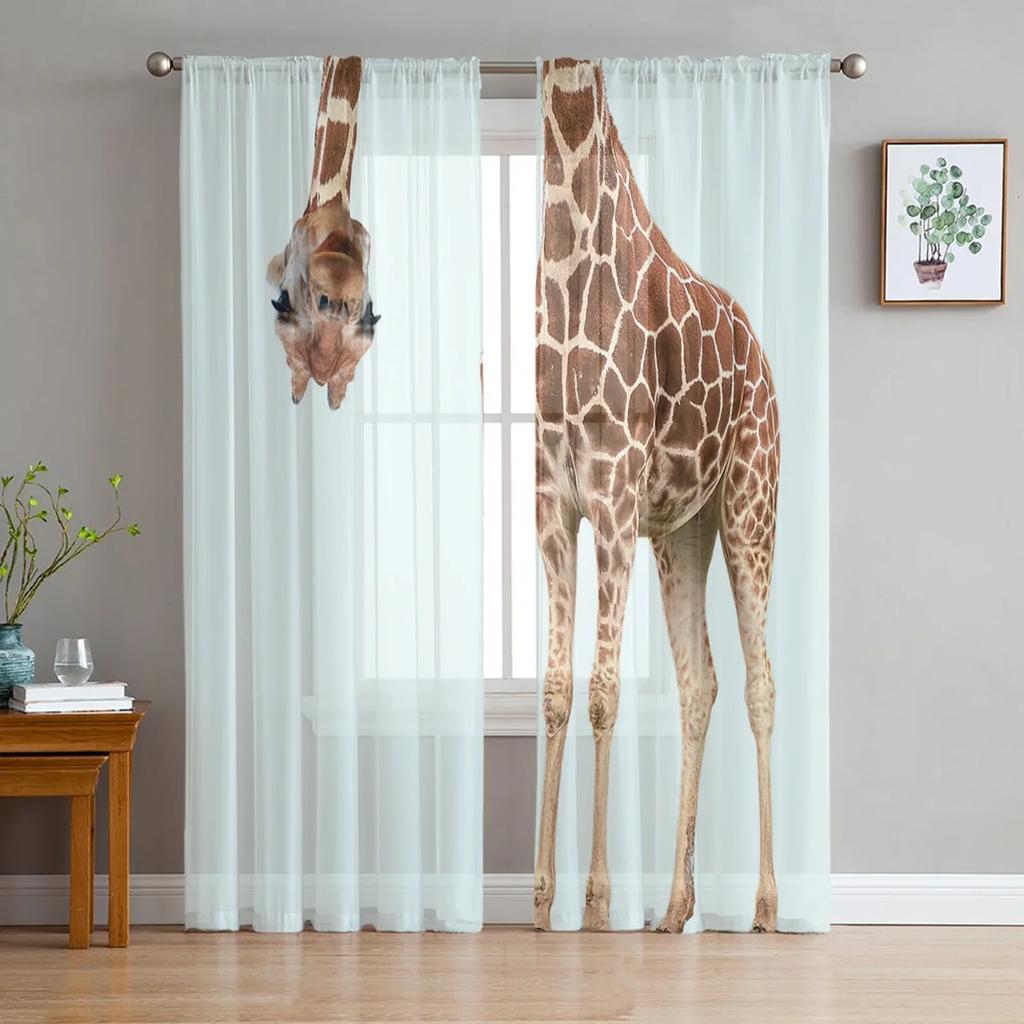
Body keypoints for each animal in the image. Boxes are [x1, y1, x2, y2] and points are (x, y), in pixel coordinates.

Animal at [534, 59, 781, 934]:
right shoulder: (552, 505)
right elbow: (557, 690)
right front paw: (542, 899)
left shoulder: (610, 497)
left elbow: (604, 692)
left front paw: (598, 900)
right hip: (683, 532)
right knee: (700, 683)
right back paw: (676, 906)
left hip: (750, 507)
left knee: (762, 684)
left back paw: (766, 905)